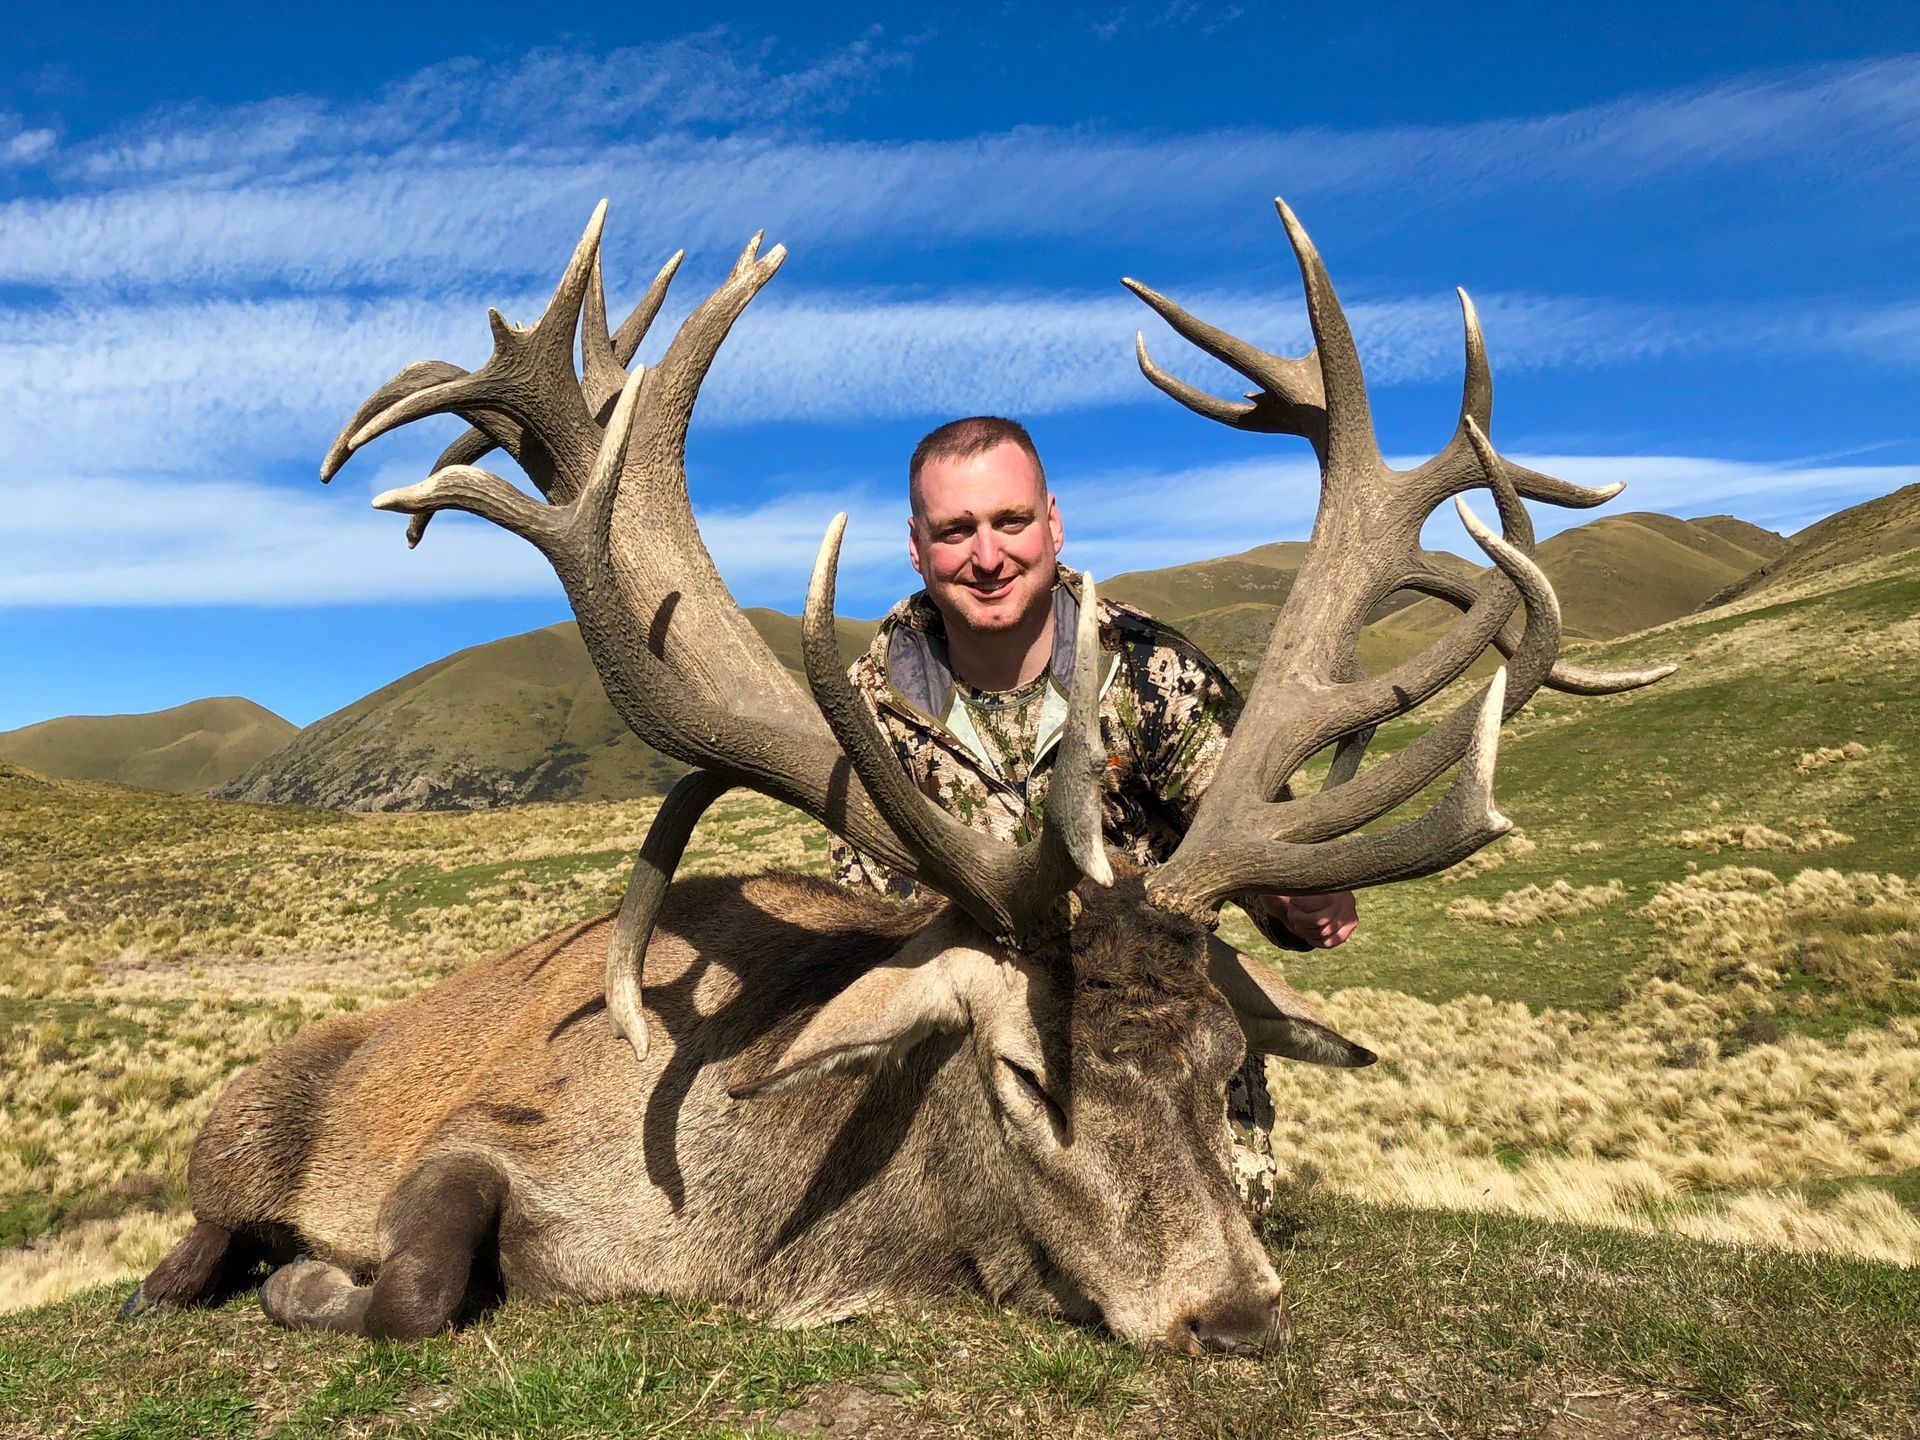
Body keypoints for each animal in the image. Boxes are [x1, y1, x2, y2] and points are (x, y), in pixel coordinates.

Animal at [122, 199, 1669, 1351]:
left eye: (1225, 1064)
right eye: (1024, 1073)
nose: (1232, 1316)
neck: (761, 1227)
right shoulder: (487, 1137)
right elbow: (423, 1282)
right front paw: (316, 1278)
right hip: (241, 1118)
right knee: (191, 1235)